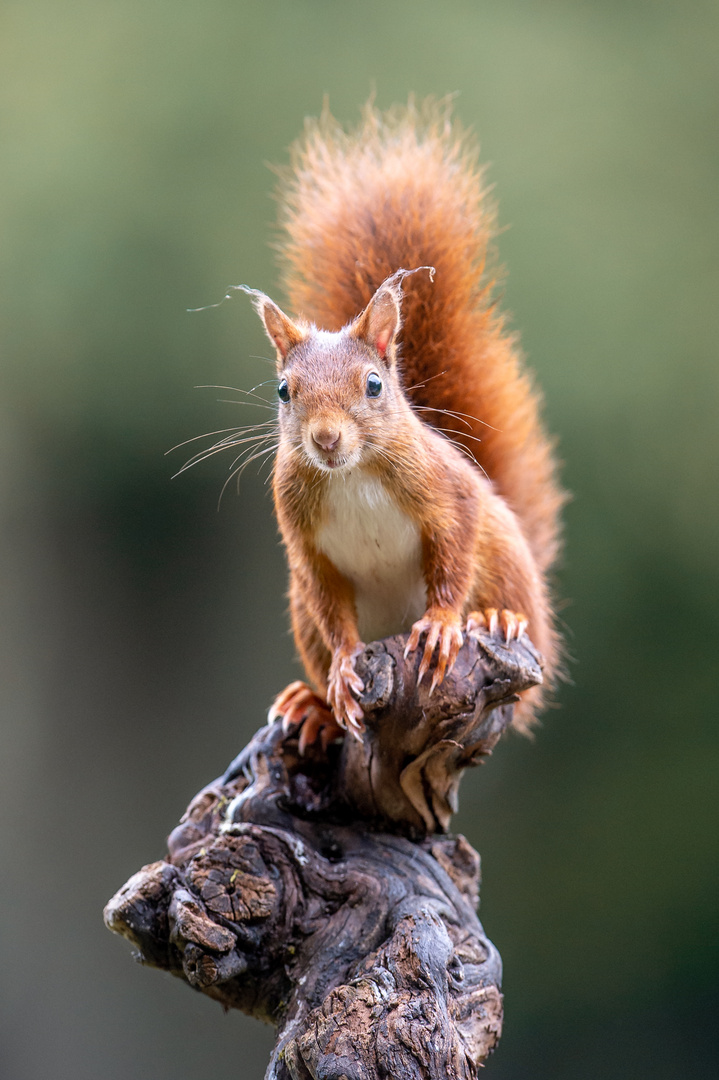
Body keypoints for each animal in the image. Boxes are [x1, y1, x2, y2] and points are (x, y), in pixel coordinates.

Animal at [243, 103, 561, 751]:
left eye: (373, 384)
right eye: (284, 391)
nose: (326, 439)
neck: (351, 474)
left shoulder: (450, 494)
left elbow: (452, 559)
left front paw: (440, 624)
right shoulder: (306, 547)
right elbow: (332, 611)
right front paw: (343, 669)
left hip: (506, 562)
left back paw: (497, 617)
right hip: (299, 611)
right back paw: (313, 706)